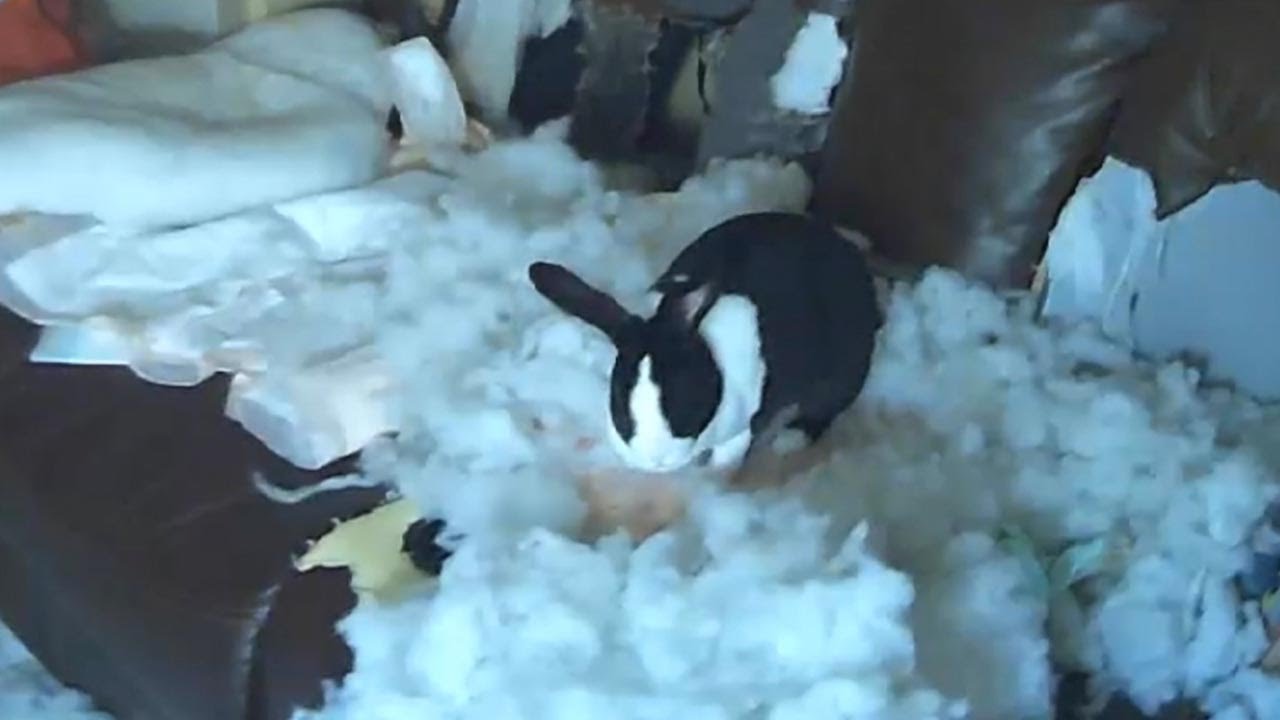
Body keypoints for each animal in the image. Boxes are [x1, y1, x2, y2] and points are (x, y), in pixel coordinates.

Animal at [528, 210, 881, 474]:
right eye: (618, 398)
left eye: (683, 397)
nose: (655, 461)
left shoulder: (743, 426)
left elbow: (729, 453)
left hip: (845, 374)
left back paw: (790, 440)